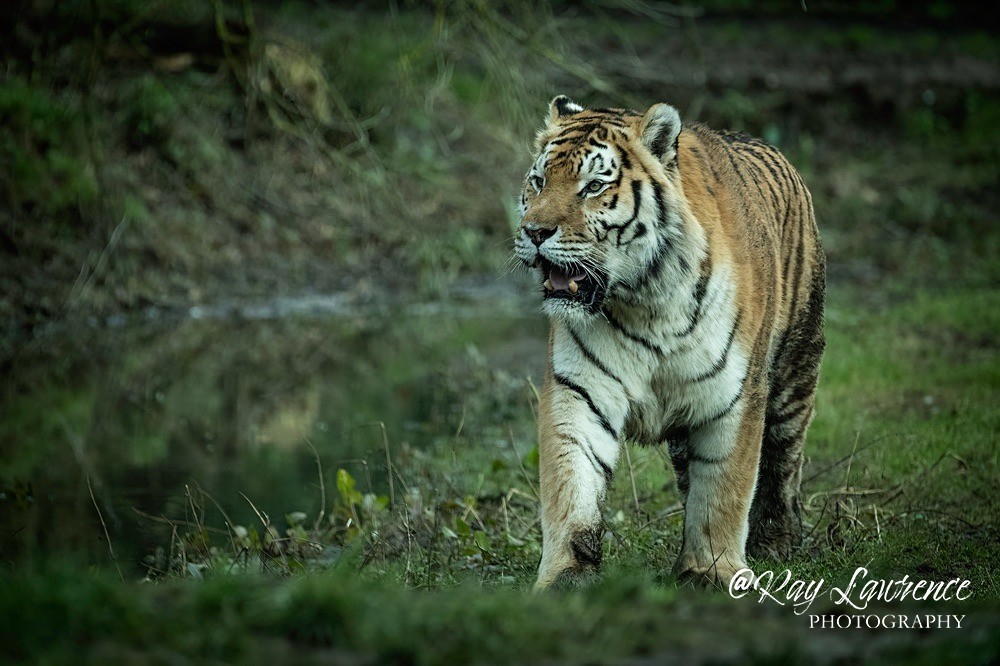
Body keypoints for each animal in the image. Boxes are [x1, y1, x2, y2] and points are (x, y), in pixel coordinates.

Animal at [513, 96, 825, 589]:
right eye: (539, 181)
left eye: (593, 186)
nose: (534, 231)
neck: (644, 300)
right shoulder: (580, 390)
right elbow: (572, 482)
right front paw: (565, 576)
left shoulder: (734, 396)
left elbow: (723, 489)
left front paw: (712, 570)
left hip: (795, 372)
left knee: (783, 459)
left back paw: (778, 539)